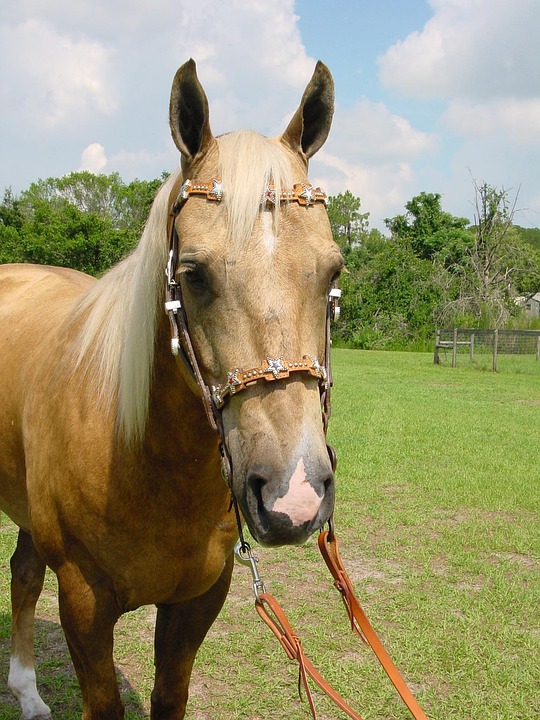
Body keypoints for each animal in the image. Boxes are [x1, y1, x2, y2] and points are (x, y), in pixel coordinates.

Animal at [0, 59, 344, 716]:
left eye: (333, 271)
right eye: (193, 274)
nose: (293, 496)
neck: (144, 458)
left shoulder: (197, 600)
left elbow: (170, 695)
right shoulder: (84, 602)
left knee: (24, 573)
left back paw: (28, 694)